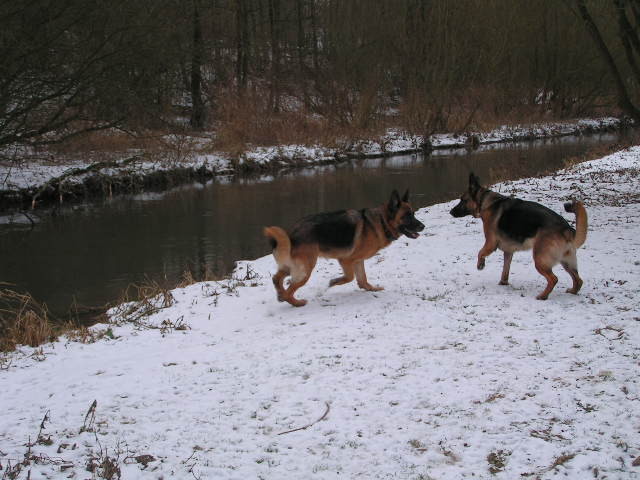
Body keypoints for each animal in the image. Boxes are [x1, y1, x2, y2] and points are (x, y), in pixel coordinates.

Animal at [264, 189, 424, 306]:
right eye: (407, 216)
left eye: (413, 214)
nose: (423, 226)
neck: (381, 222)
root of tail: (292, 234)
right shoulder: (346, 260)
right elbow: (350, 277)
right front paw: (334, 282)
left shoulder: (358, 260)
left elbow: (362, 279)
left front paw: (371, 288)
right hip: (305, 270)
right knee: (290, 289)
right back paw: (296, 302)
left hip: (292, 267)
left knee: (276, 278)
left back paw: (280, 294)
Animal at [448, 172, 588, 300]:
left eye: (463, 200)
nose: (450, 212)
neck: (485, 202)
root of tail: (566, 229)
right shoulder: (508, 251)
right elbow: (505, 269)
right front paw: (503, 283)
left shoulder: (490, 243)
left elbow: (480, 253)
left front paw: (480, 265)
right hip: (566, 262)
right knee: (578, 280)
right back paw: (572, 292)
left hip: (540, 260)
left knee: (553, 279)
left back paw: (543, 296)